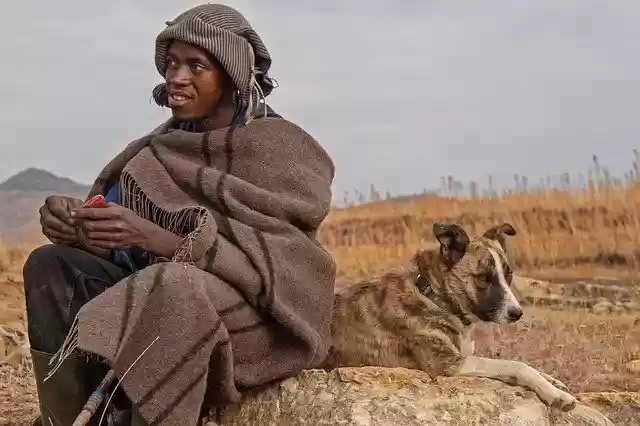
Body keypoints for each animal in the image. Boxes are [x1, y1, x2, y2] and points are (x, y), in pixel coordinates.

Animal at [328, 223, 576, 412]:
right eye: (483, 278)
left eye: (509, 275)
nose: (517, 313)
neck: (433, 295)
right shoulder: (448, 365)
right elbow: (515, 365)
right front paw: (555, 394)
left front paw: (553, 381)